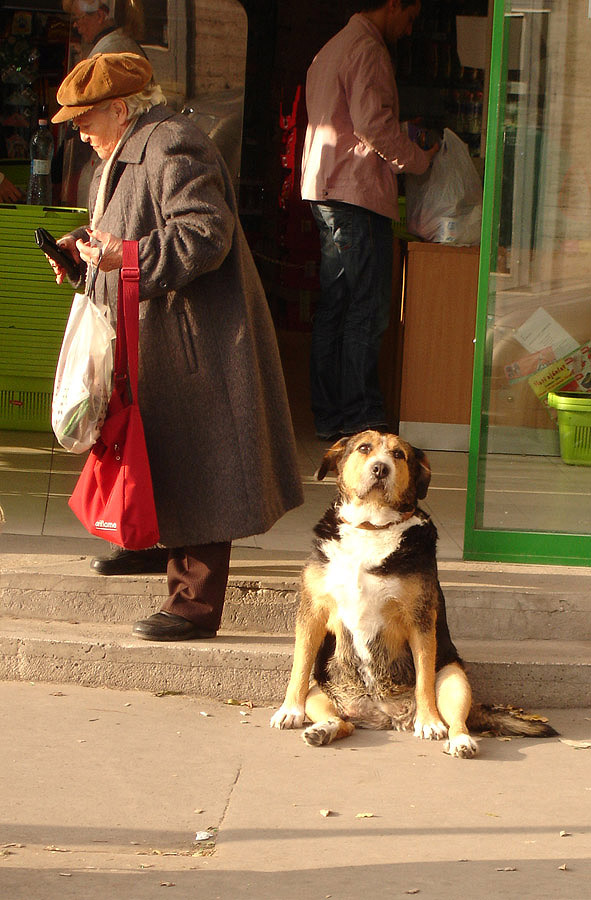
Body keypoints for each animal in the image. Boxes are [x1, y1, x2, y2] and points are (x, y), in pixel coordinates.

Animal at [270, 432, 556, 756]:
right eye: (364, 448)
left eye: (399, 455)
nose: (380, 468)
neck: (372, 526)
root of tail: (383, 715)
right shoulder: (312, 611)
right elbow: (300, 664)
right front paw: (289, 711)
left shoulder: (420, 619)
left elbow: (423, 678)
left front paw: (429, 721)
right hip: (320, 693)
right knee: (344, 723)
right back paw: (323, 730)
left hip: (453, 679)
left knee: (456, 719)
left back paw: (458, 740)